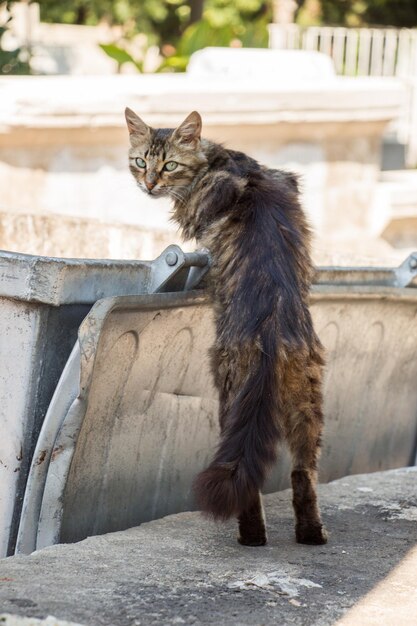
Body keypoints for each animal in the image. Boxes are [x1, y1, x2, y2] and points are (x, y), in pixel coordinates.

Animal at [125, 108, 326, 544]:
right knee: (303, 471)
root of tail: (270, 333)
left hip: (229, 392)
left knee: (246, 480)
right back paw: (312, 534)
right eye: (140, 162)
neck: (220, 160)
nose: (149, 185)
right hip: (309, 399)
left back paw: (251, 536)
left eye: (168, 165)